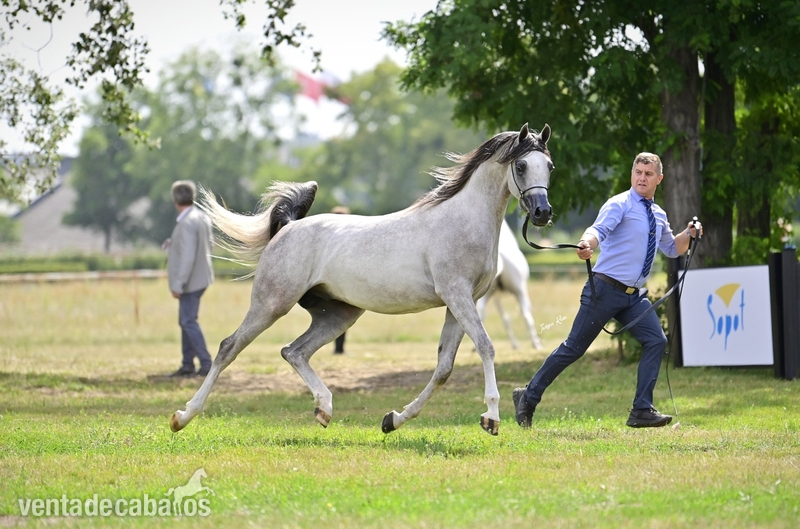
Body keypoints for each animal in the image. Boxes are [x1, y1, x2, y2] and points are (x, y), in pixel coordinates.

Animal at [477, 219, 544, 350]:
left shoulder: (496, 297)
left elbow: (505, 319)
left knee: (482, 314)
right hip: (519, 293)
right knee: (526, 316)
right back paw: (535, 344)